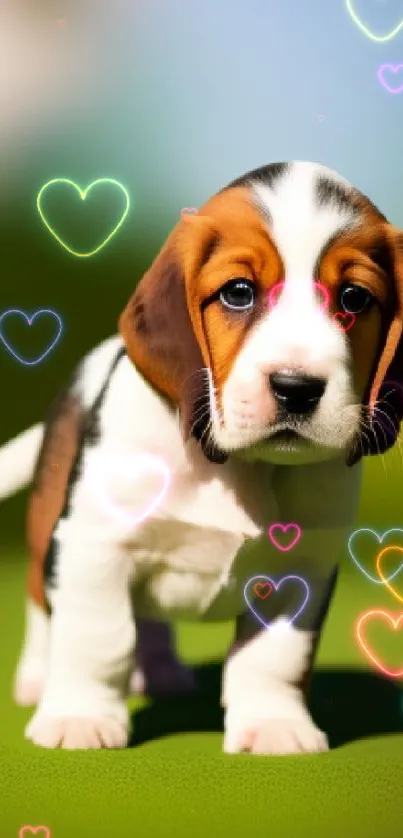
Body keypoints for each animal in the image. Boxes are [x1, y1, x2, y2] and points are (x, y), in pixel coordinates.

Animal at [2, 159, 403, 756]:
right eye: (238, 292)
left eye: (354, 298)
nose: (296, 388)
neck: (235, 464)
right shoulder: (94, 542)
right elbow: (99, 638)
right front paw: (80, 718)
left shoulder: (301, 568)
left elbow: (274, 659)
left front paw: (273, 726)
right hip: (48, 522)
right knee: (41, 602)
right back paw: (36, 676)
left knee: (150, 623)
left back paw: (163, 672)